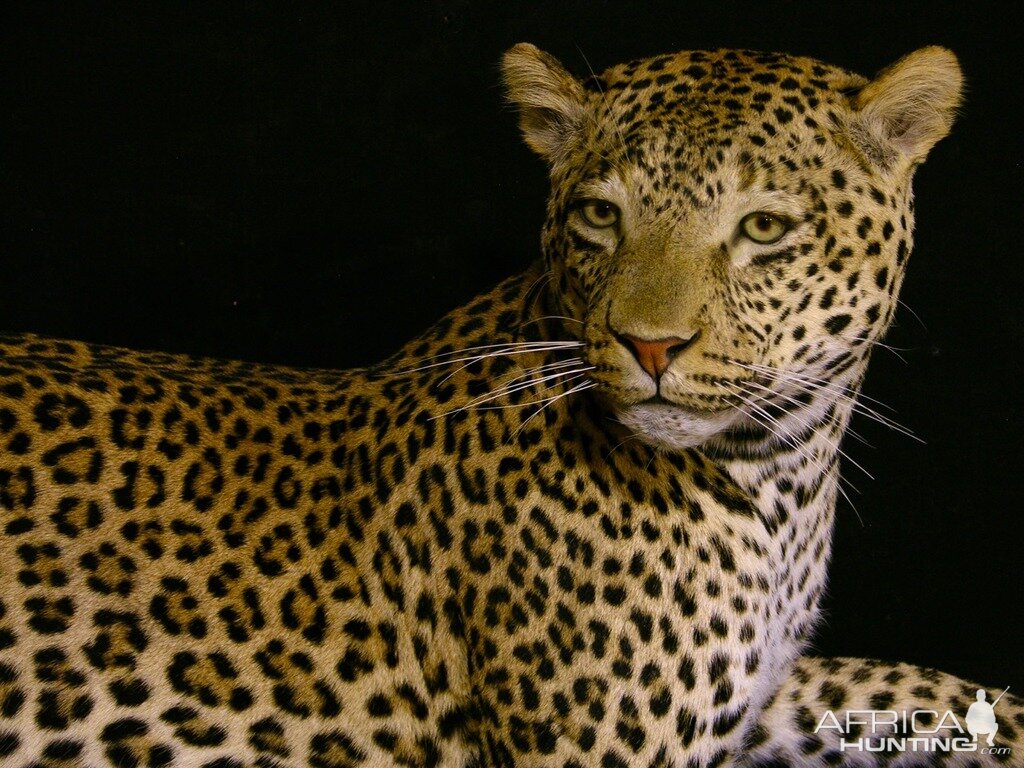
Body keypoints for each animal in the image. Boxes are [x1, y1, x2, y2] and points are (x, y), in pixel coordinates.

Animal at [0, 43, 1019, 768]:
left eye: (763, 228)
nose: (651, 345)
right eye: (602, 216)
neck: (777, 471)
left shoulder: (763, 699)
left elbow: (905, 686)